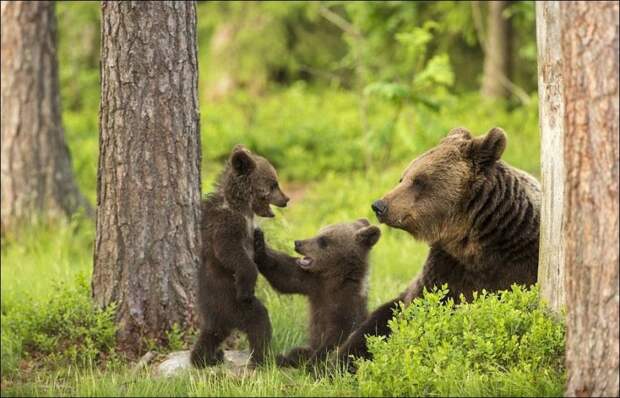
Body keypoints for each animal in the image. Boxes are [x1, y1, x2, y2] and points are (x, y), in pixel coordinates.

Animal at [340, 126, 536, 360]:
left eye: (418, 181)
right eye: (402, 178)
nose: (379, 206)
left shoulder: (520, 261)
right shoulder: (446, 265)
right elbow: (417, 308)